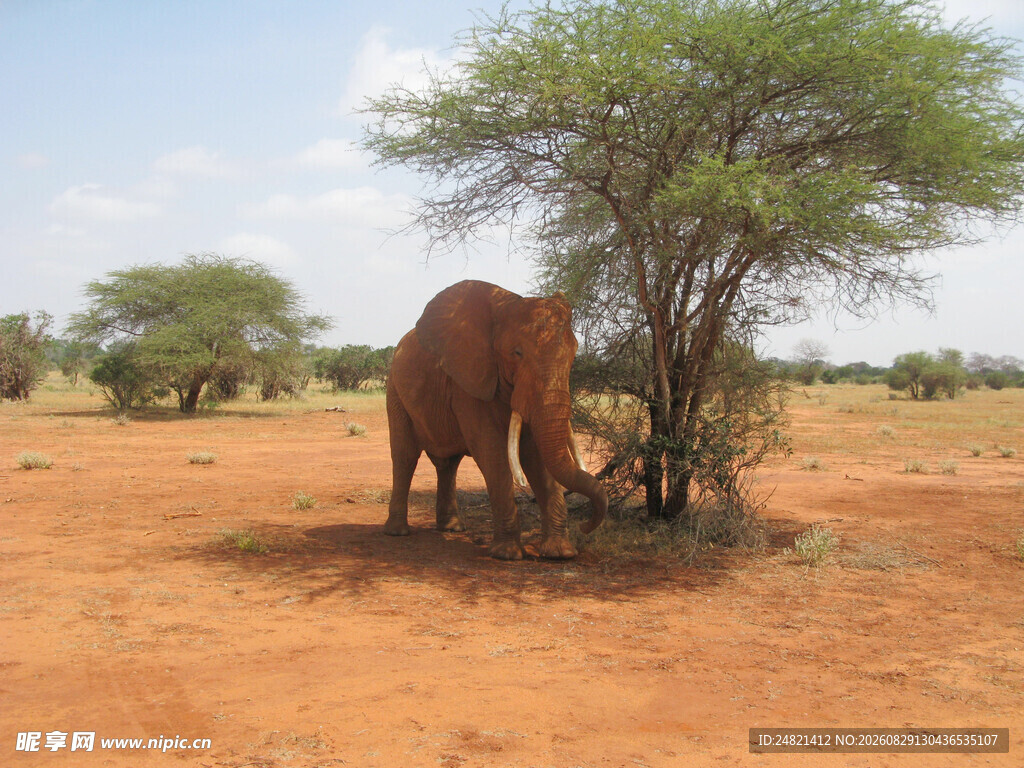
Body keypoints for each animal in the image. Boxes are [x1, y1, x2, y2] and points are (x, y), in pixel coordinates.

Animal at [384, 279, 608, 560]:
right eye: (517, 353)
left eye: (574, 354)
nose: (585, 526)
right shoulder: (468, 382)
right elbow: (492, 451)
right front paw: (507, 554)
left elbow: (537, 455)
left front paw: (560, 552)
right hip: (394, 390)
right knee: (405, 456)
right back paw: (397, 532)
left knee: (448, 464)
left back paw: (452, 528)